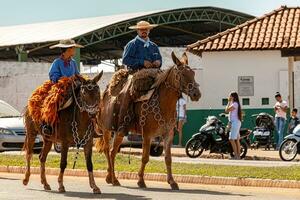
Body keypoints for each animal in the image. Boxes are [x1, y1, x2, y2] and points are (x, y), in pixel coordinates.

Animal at [96, 51, 202, 189]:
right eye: (182, 74)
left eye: (193, 74)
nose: (196, 94)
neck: (164, 104)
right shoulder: (147, 134)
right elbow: (145, 157)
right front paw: (141, 180)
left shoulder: (168, 135)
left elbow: (168, 158)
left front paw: (172, 181)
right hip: (109, 130)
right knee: (111, 151)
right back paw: (114, 179)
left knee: (109, 151)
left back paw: (110, 177)